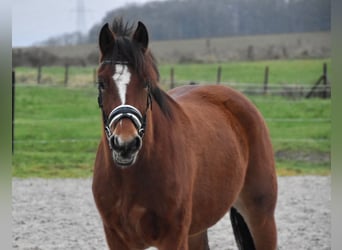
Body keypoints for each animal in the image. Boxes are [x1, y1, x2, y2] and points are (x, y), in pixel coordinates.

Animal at [91, 18, 278, 249]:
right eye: (101, 83)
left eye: (146, 82)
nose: (125, 144)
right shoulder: (117, 239)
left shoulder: (174, 237)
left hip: (261, 216)